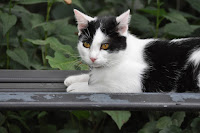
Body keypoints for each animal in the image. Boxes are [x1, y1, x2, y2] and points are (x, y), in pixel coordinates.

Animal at [64, 9, 200, 92]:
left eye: (105, 46)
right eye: (86, 44)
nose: (92, 58)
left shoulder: (136, 83)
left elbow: (104, 86)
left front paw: (78, 86)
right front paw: (76, 79)